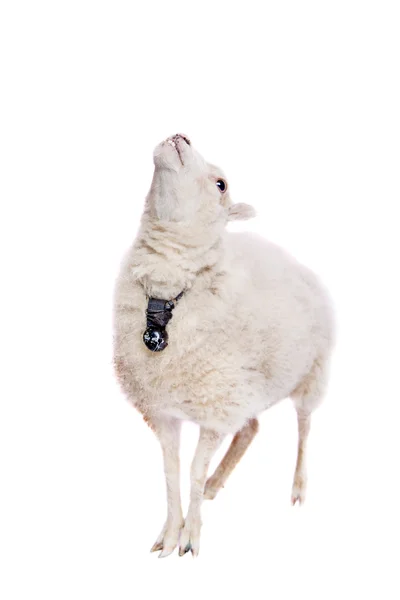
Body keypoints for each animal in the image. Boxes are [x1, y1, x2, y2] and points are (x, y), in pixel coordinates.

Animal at [113, 132, 334, 556]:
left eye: (221, 184)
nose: (181, 136)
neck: (165, 297)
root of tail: (296, 261)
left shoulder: (215, 407)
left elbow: (193, 471)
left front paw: (191, 536)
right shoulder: (162, 410)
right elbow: (171, 472)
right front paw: (169, 534)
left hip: (311, 373)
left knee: (304, 426)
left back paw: (298, 487)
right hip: (248, 385)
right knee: (251, 428)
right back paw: (219, 481)